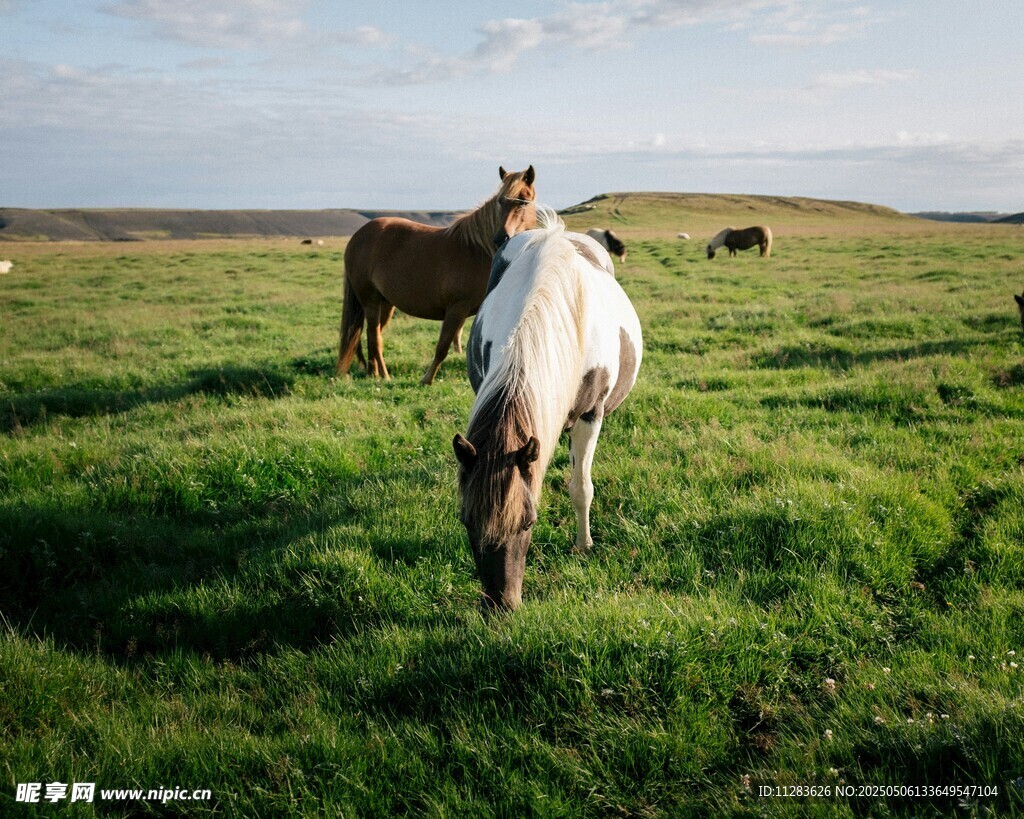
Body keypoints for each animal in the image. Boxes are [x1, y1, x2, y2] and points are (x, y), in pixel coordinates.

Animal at [337, 165, 537, 385]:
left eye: (524, 200)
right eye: (501, 201)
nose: (501, 238)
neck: (479, 252)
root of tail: (358, 236)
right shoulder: (456, 310)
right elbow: (443, 346)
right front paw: (427, 379)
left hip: (385, 304)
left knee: (372, 336)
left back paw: (373, 372)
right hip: (370, 301)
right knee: (375, 338)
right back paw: (384, 375)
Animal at [452, 209, 642, 610]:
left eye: (528, 523)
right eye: (466, 521)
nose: (501, 606)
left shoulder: (590, 415)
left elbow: (581, 486)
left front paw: (583, 546)